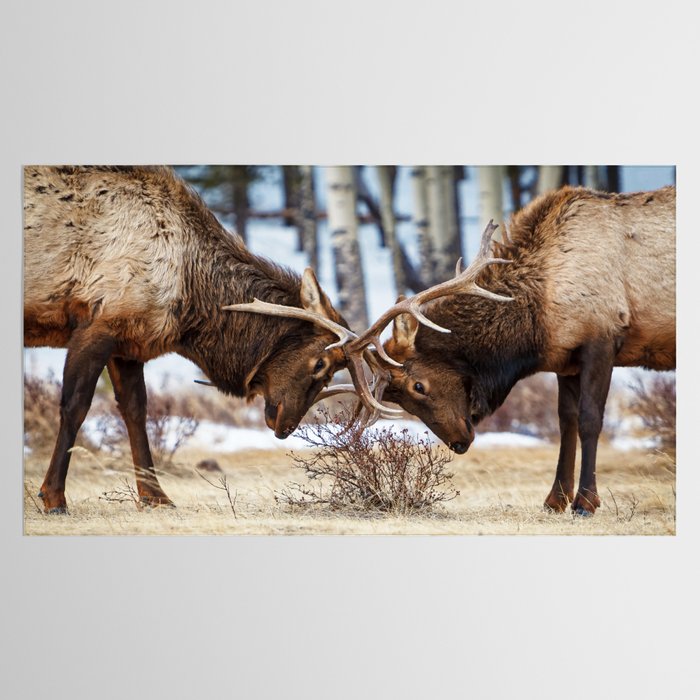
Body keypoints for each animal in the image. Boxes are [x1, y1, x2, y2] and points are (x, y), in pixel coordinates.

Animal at [24, 165, 372, 514]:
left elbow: (136, 412)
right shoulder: (96, 324)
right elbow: (75, 407)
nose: (286, 427)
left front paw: (156, 496)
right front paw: (53, 496)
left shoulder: (128, 343)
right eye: (320, 363)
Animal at [337, 185, 676, 516]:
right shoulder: (567, 360)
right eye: (397, 399)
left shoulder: (602, 340)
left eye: (418, 385)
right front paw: (555, 500)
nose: (459, 442)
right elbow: (566, 421)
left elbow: (590, 420)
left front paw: (585, 502)